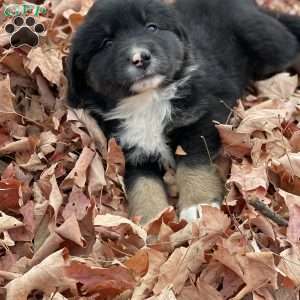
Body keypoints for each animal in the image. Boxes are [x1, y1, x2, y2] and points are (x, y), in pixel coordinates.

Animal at [67, 0, 300, 221]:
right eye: (107, 43)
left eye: (152, 27)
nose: (140, 58)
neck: (148, 102)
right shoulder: (130, 149)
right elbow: (142, 184)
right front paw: (152, 220)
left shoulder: (199, 121)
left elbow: (192, 164)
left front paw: (197, 205)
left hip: (268, 45)